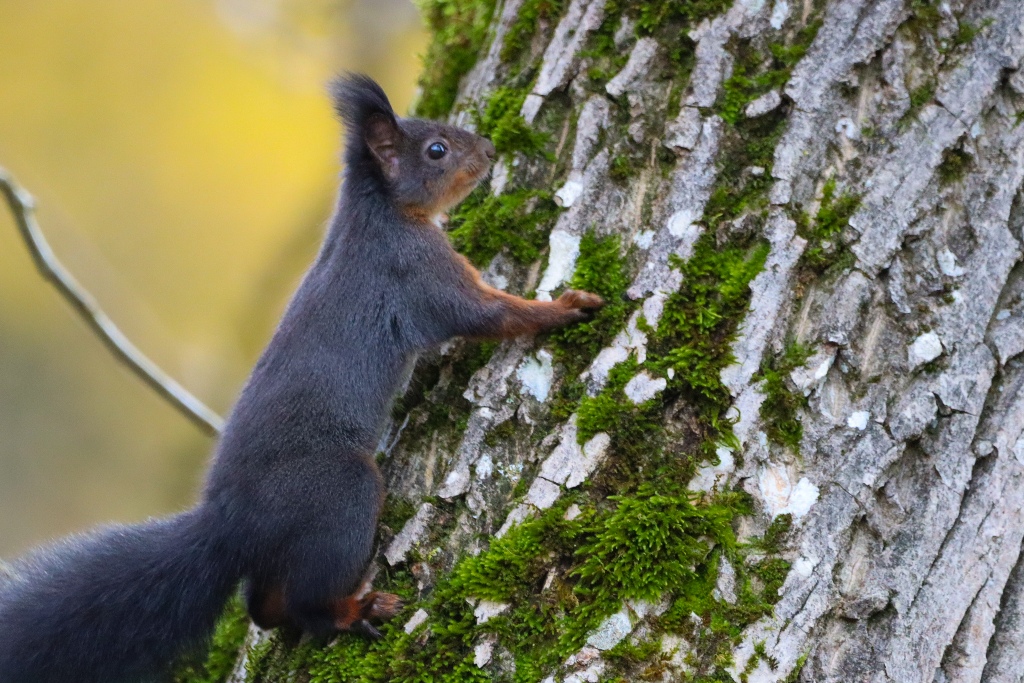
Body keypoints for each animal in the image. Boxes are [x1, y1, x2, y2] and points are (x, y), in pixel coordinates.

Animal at [0, 74, 603, 683]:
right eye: (437, 150)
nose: (488, 148)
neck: (379, 212)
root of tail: (233, 525)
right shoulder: (418, 272)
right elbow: (491, 314)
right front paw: (565, 308)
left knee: (263, 607)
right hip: (340, 494)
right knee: (310, 601)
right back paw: (356, 610)